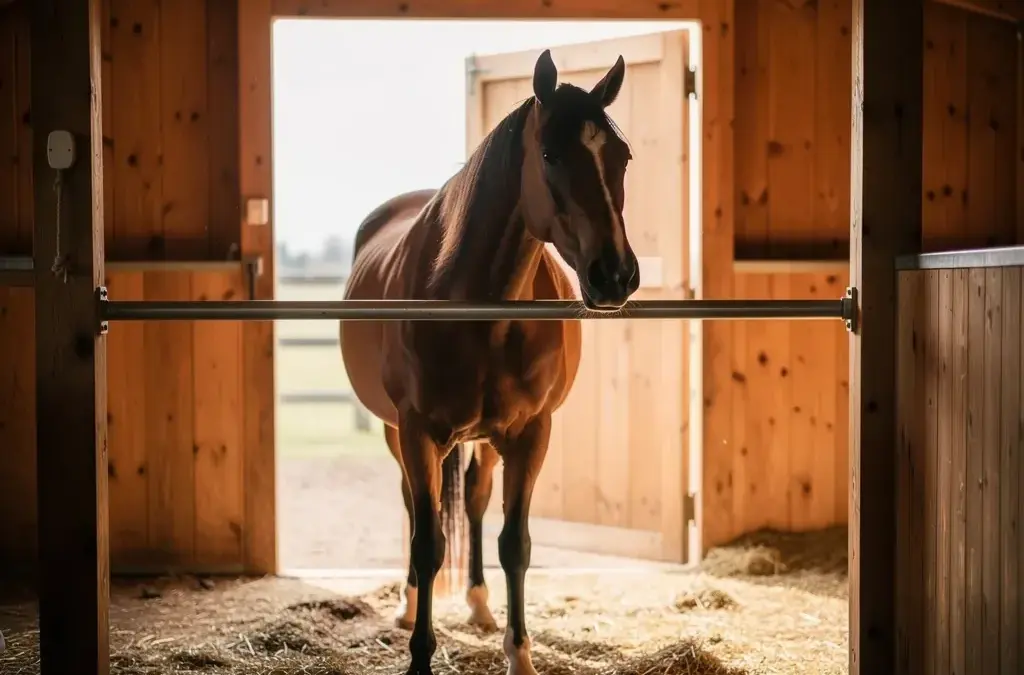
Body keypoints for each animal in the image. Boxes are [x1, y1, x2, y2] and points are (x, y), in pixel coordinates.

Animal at [339, 49, 639, 675]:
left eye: (621, 157)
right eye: (551, 154)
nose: (615, 275)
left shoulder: (529, 433)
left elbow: (514, 544)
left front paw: (519, 654)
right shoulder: (417, 431)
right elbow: (428, 542)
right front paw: (420, 657)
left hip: (484, 438)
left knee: (475, 500)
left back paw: (479, 605)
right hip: (397, 432)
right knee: (415, 507)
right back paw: (409, 604)